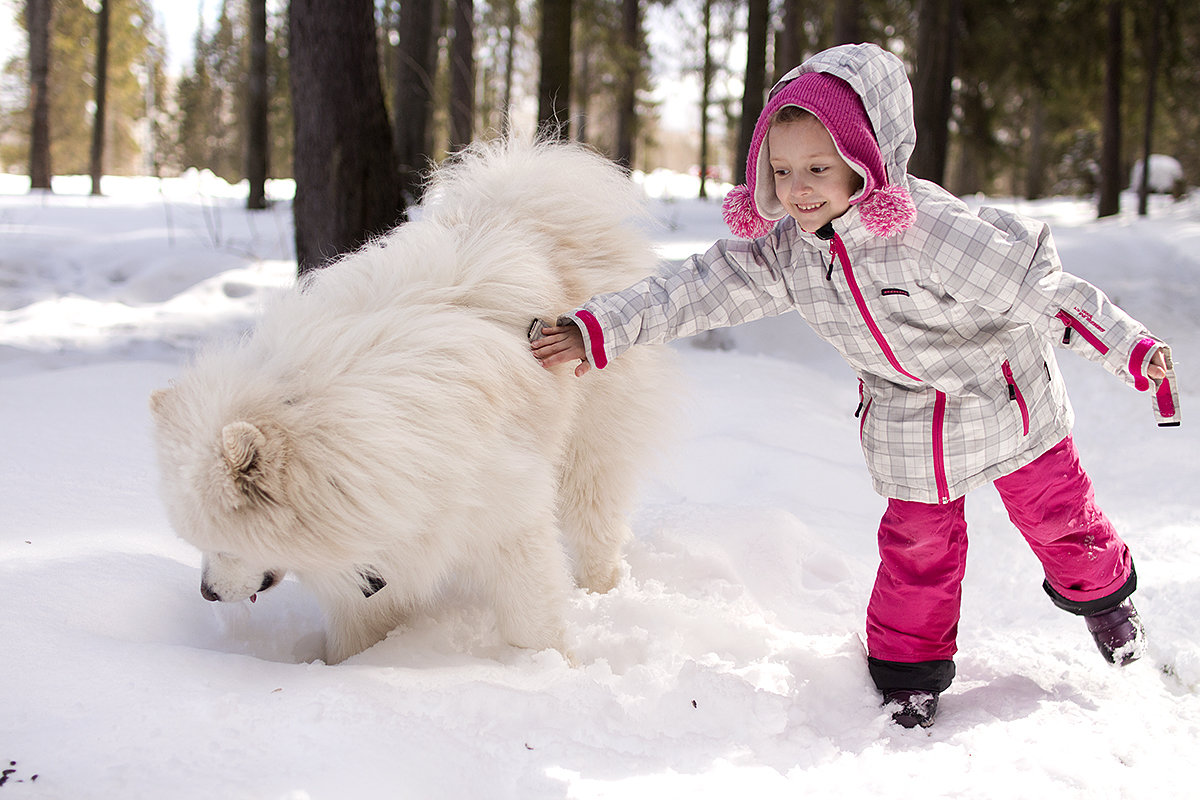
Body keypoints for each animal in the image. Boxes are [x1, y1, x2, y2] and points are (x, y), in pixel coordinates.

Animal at [148, 137, 672, 662]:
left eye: (223, 541)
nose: (207, 593)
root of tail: (524, 204)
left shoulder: (505, 519)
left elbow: (532, 616)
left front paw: (545, 666)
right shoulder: (376, 556)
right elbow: (357, 633)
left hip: (590, 448)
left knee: (596, 526)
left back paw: (599, 591)